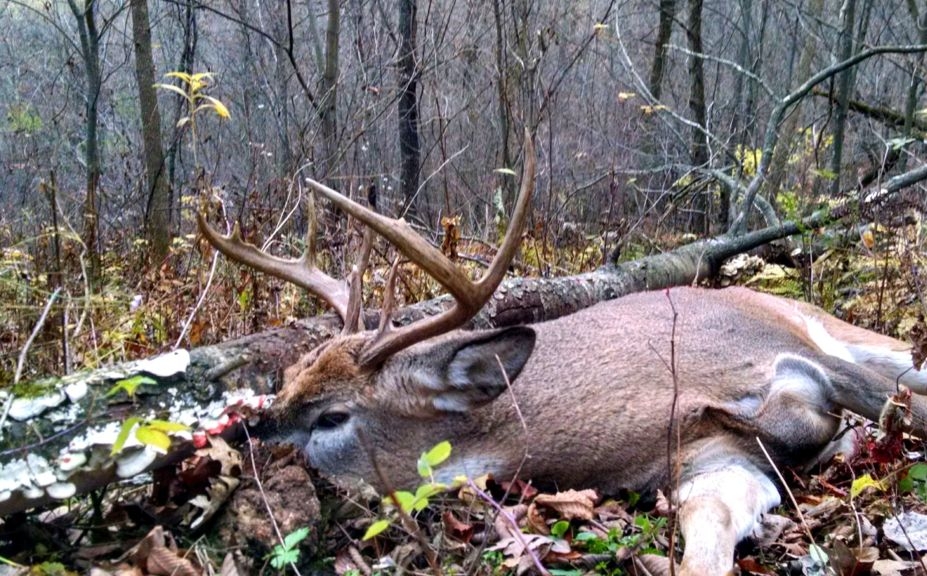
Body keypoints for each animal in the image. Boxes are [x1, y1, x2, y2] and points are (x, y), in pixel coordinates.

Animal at [198, 134, 927, 576]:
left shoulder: (786, 354)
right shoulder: (714, 463)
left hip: (844, 335)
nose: (238, 439)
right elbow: (707, 541)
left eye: (332, 418)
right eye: (286, 378)